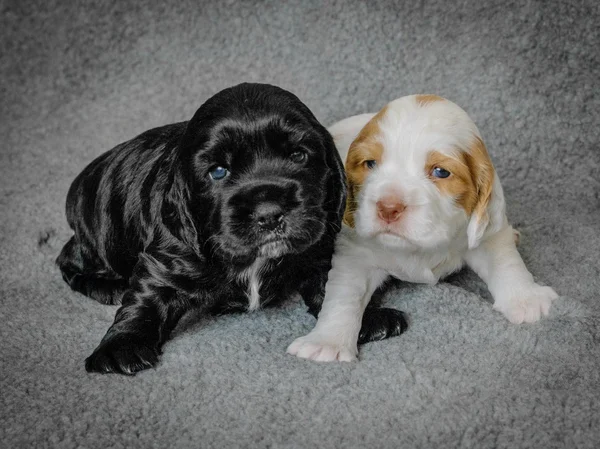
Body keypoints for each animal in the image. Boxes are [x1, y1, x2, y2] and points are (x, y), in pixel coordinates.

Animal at [57, 82, 408, 372]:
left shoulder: (319, 244)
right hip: (95, 236)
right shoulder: (169, 257)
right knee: (67, 259)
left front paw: (367, 319)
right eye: (218, 171)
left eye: (298, 155)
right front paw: (121, 346)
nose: (269, 214)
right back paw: (109, 287)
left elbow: (333, 284)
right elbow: (146, 298)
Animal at [288, 93, 560, 360]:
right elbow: (344, 295)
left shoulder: (486, 231)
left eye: (440, 172)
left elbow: (505, 260)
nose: (388, 207)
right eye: (370, 164)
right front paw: (327, 343)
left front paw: (525, 299)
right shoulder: (356, 252)